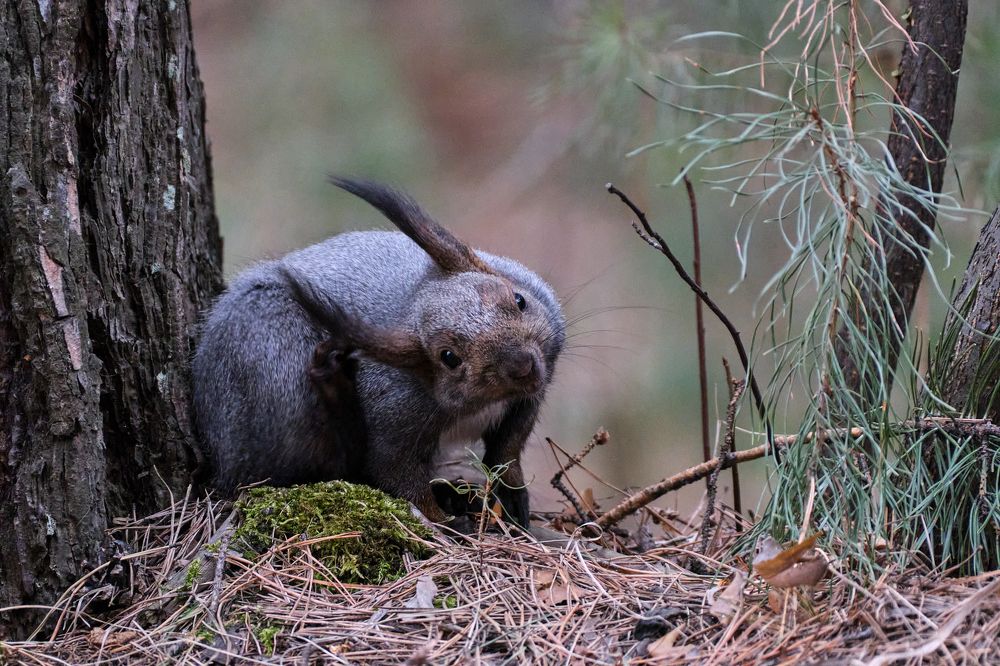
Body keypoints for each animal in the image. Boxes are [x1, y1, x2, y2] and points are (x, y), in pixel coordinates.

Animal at [192, 178, 565, 529]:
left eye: (519, 300)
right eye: (449, 357)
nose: (523, 366)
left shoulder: (537, 383)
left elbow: (508, 446)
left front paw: (511, 493)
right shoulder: (393, 419)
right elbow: (399, 478)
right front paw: (446, 521)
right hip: (277, 369)